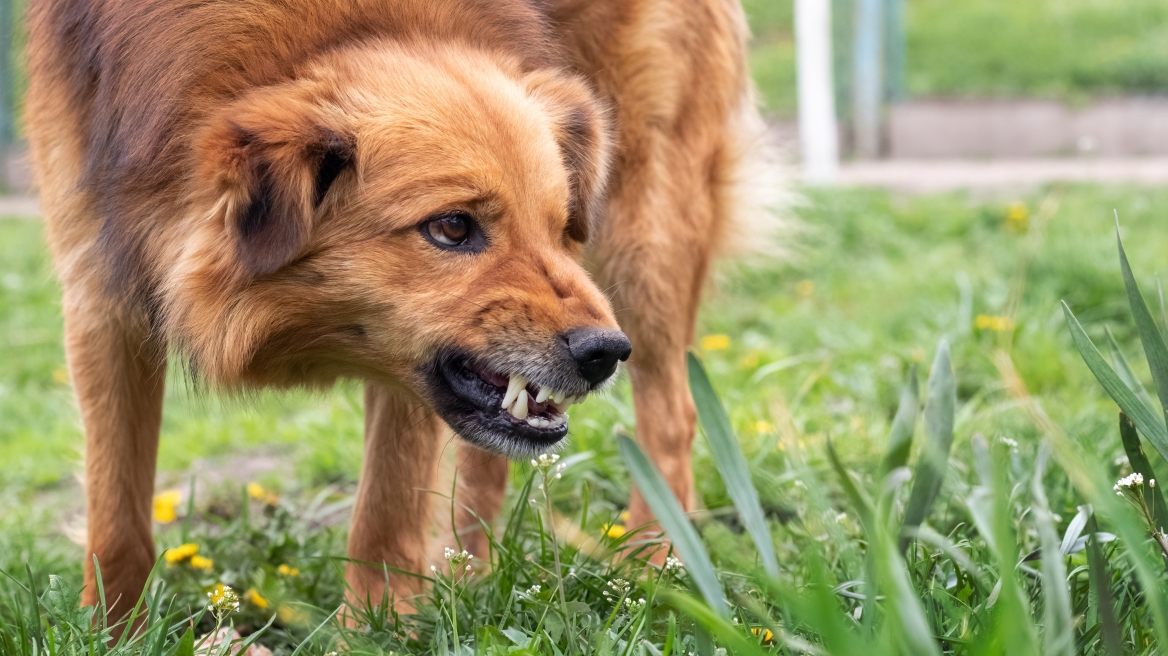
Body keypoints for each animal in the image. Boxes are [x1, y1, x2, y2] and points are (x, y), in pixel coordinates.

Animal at [22, 0, 770, 611]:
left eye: (560, 227)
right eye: (453, 227)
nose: (604, 354)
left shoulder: (413, 365)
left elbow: (383, 523)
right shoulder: (100, 294)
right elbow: (115, 519)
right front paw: (111, 631)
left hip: (645, 230)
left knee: (671, 415)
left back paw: (658, 567)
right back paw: (472, 576)